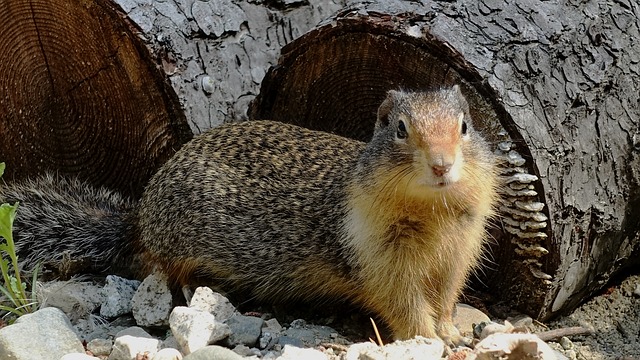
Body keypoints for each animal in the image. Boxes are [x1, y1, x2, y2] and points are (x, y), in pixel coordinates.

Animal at [1, 86, 500, 342]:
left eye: (465, 126)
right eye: (399, 129)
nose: (441, 165)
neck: (431, 213)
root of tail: (139, 217)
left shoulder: (457, 256)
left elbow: (445, 299)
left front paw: (452, 333)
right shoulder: (382, 261)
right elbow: (406, 306)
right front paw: (429, 340)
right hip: (181, 246)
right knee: (164, 271)